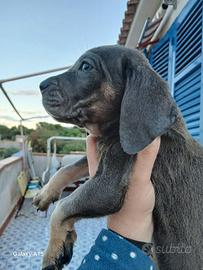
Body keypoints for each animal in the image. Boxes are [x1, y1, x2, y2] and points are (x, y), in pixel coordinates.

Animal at [33, 45, 203, 268]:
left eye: (86, 67)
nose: (41, 85)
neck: (113, 130)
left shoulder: (107, 187)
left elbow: (62, 206)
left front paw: (52, 252)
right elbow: (67, 169)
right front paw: (45, 193)